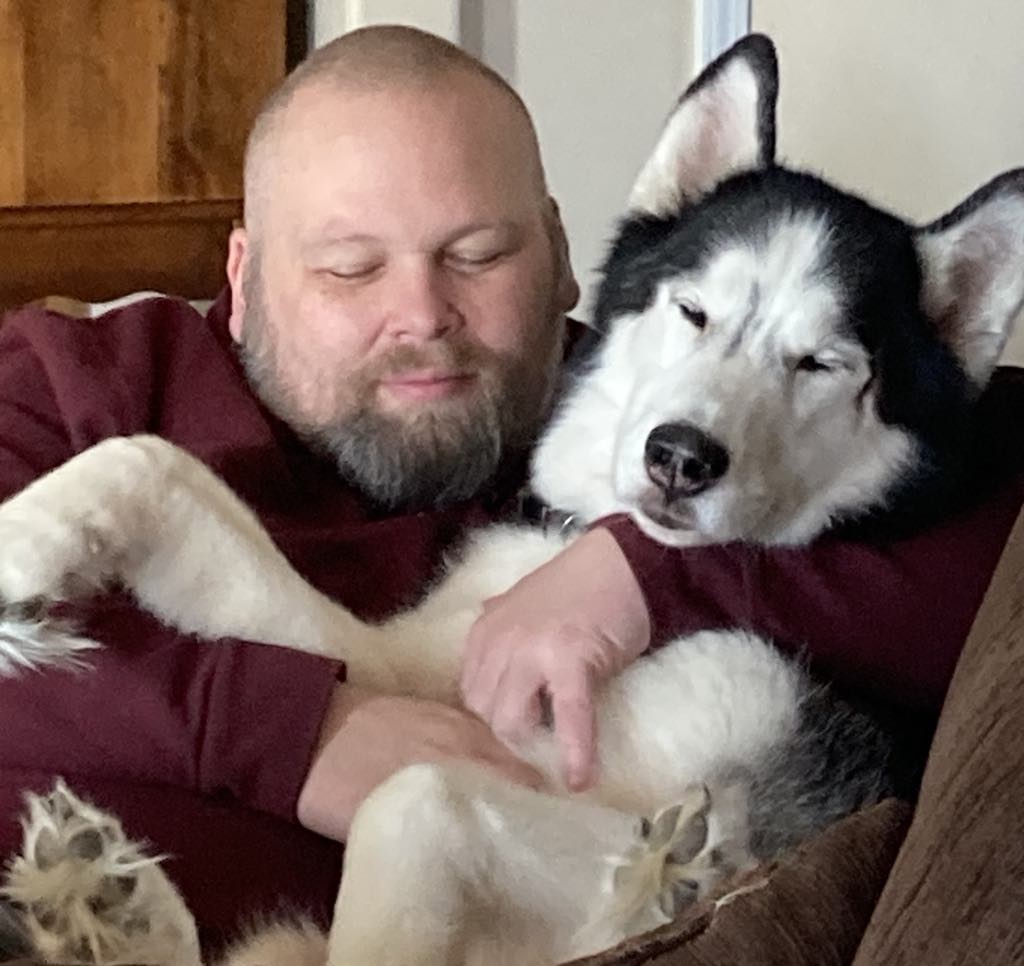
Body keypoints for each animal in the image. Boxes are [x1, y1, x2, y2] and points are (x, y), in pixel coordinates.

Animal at [2, 34, 1024, 966]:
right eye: (693, 310)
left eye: (820, 364)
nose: (681, 458)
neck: (589, 536)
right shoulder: (397, 663)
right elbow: (156, 463)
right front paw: (23, 544)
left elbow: (421, 798)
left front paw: (662, 886)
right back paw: (99, 904)